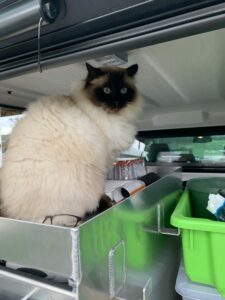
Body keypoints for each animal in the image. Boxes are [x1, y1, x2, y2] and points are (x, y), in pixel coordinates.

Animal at [0, 62, 141, 225]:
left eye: (124, 90)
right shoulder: (105, 161)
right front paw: (106, 201)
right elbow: (102, 191)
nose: (117, 103)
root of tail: (12, 215)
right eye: (106, 90)